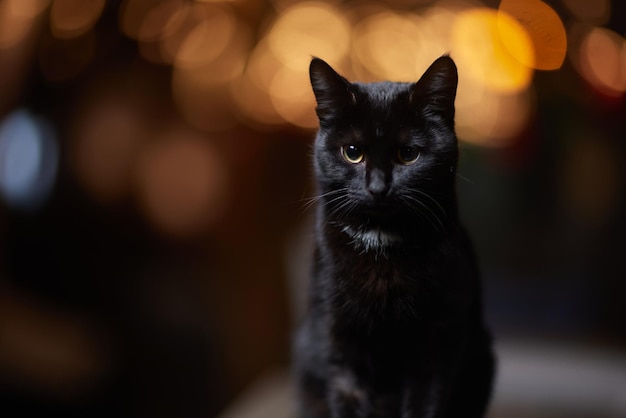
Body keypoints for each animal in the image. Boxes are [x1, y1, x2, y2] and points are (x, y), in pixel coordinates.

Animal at [292, 56, 492, 418]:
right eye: (352, 152)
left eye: (408, 154)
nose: (377, 188)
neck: (381, 244)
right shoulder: (338, 338)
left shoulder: (439, 339)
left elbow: (425, 402)